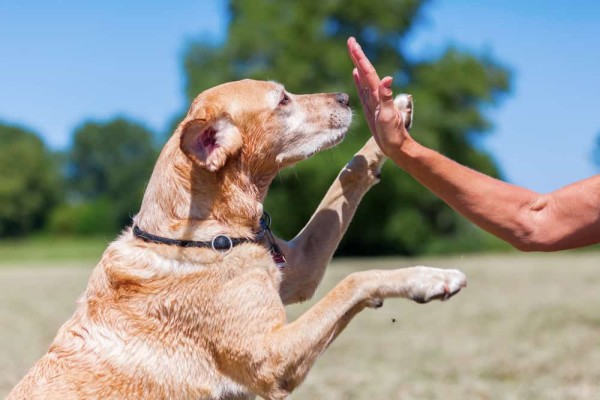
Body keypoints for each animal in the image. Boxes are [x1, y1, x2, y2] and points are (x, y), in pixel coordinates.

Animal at [10, 79, 468, 398]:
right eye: (282, 100)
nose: (345, 97)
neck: (206, 233)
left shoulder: (296, 268)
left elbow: (349, 175)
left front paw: (390, 119)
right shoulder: (272, 361)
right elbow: (355, 279)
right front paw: (432, 278)